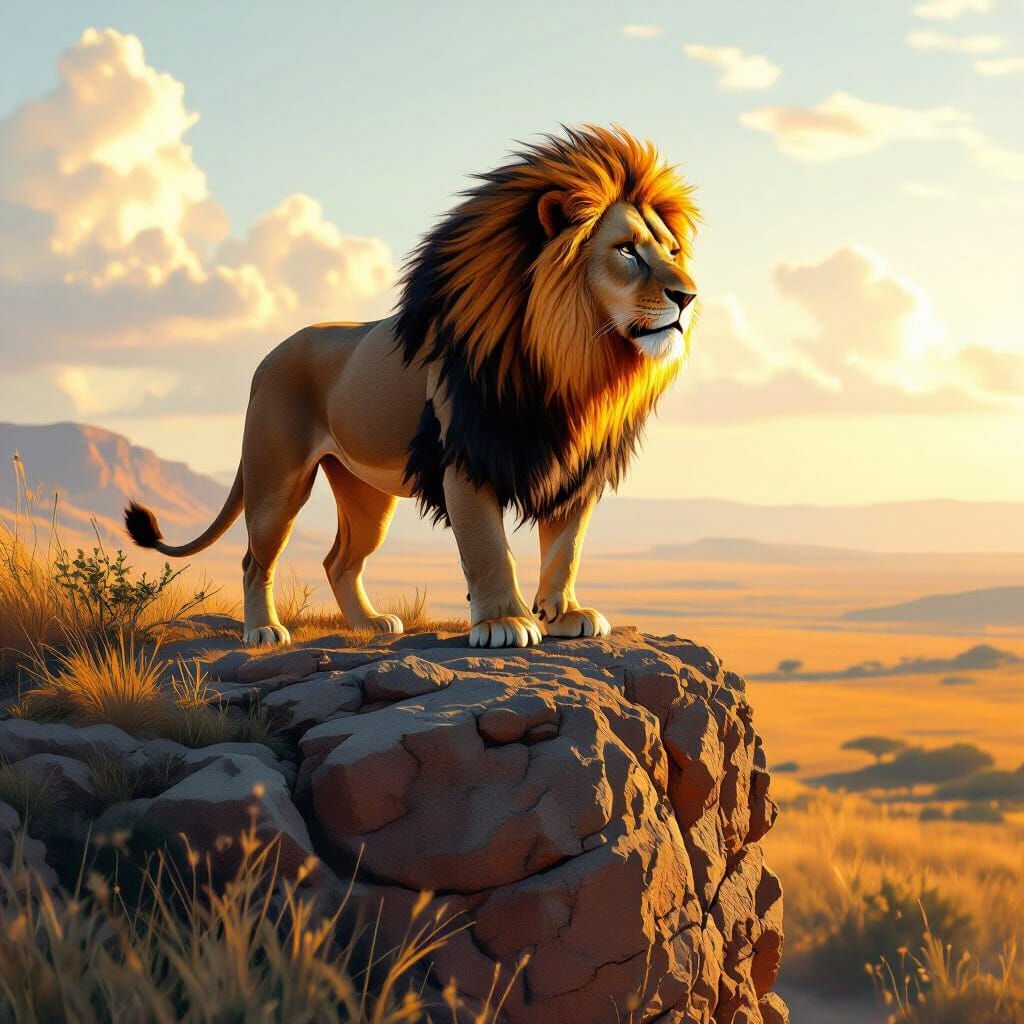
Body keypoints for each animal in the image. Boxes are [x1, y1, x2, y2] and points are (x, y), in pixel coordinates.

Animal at [125, 125, 699, 649]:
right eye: (627, 250)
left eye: (672, 250)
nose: (688, 296)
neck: (574, 363)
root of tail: (268, 358)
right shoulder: (464, 457)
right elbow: (488, 548)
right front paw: (504, 622)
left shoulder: (574, 465)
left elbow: (566, 549)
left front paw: (566, 614)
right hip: (276, 482)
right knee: (254, 559)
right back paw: (263, 630)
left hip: (367, 494)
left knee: (339, 560)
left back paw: (369, 624)